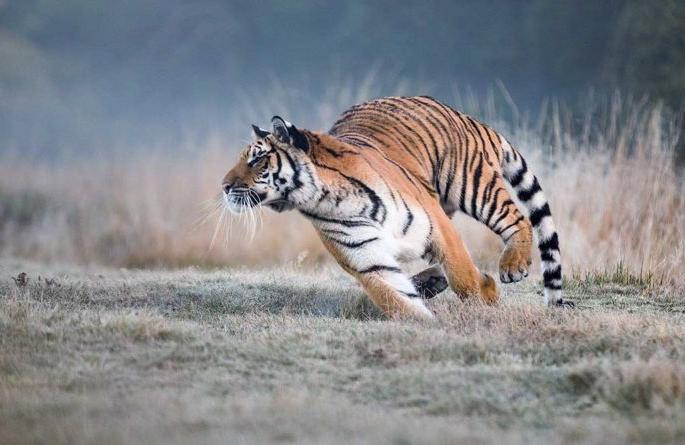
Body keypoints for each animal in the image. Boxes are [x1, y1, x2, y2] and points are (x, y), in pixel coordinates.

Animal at [221, 96, 572, 320]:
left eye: (257, 159)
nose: (223, 186)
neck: (327, 200)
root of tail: (467, 117)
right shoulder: (366, 259)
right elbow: (395, 297)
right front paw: (425, 324)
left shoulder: (436, 226)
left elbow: (463, 275)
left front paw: (486, 295)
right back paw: (431, 281)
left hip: (471, 185)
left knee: (516, 217)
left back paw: (513, 265)